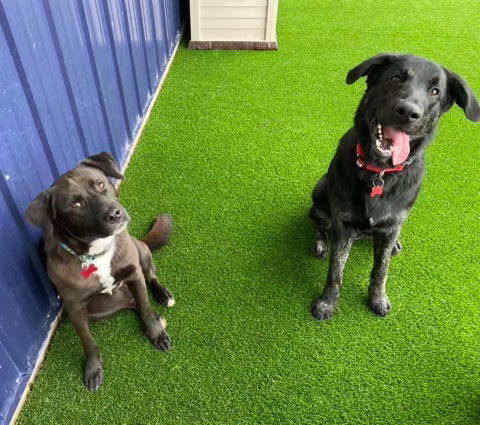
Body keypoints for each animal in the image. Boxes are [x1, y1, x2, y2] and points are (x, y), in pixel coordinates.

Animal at [25, 152, 174, 390]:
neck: (96, 254)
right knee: (132, 302)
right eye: (75, 204)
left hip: (140, 250)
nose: (115, 214)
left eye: (100, 184)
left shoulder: (134, 273)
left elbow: (145, 307)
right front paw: (93, 369)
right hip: (99, 308)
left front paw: (156, 333)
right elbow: (88, 341)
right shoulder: (75, 307)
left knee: (148, 280)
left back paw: (163, 296)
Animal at [310, 52, 478, 318]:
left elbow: (381, 270)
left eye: (435, 91)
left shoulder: (391, 225)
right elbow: (335, 271)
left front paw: (377, 298)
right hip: (320, 190)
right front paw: (327, 302)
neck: (380, 172)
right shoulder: (343, 225)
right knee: (320, 223)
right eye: (396, 78)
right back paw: (320, 243)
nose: (408, 112)